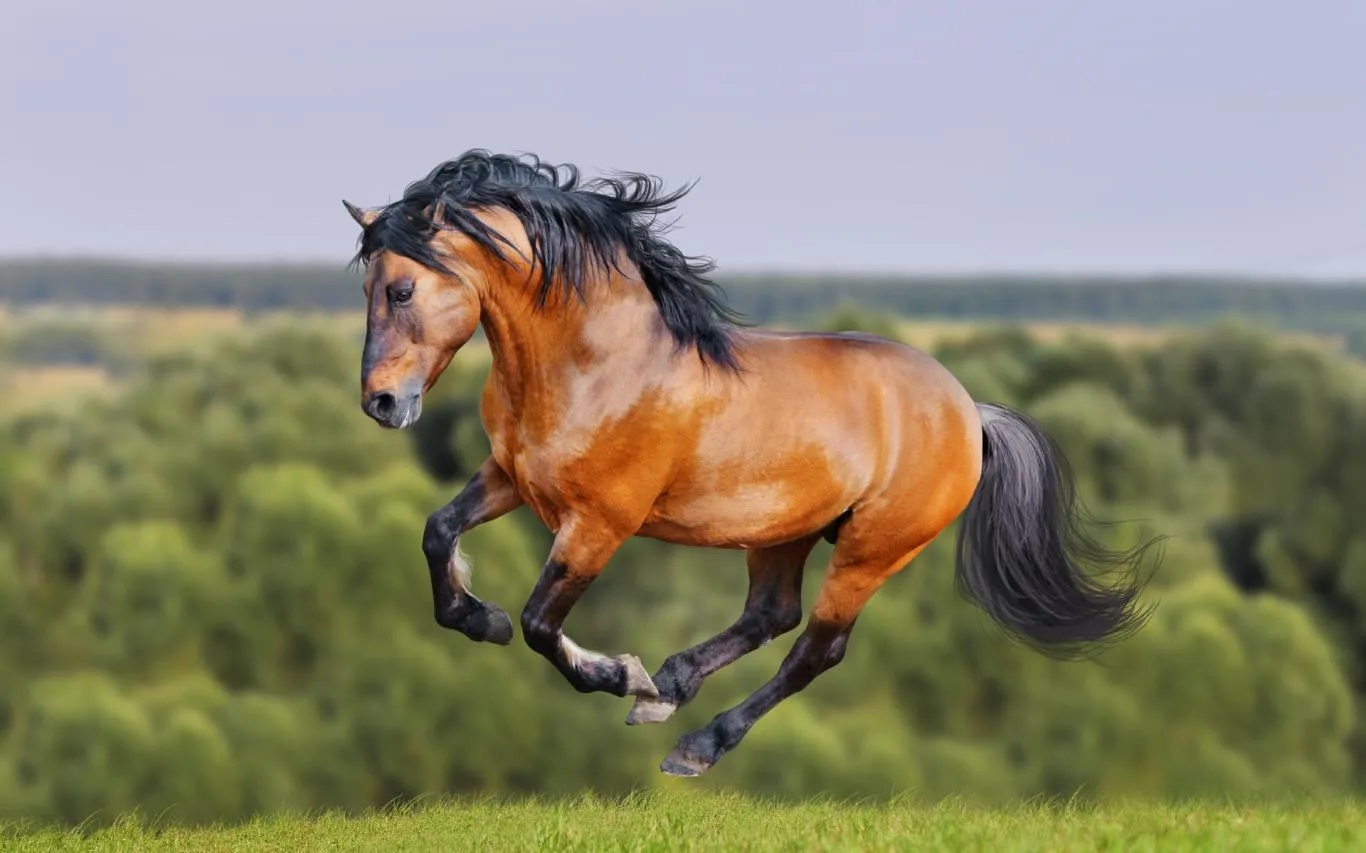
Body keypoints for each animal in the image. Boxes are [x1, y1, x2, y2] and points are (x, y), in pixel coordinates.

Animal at [342, 150, 1159, 778]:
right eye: (367, 286)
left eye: (402, 287)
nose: (380, 403)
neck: (593, 362)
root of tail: (967, 411)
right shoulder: (511, 477)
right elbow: (438, 532)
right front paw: (481, 620)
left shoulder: (601, 522)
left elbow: (543, 623)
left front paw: (619, 671)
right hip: (784, 531)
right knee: (772, 614)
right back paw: (671, 687)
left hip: (872, 549)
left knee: (816, 648)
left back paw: (694, 742)